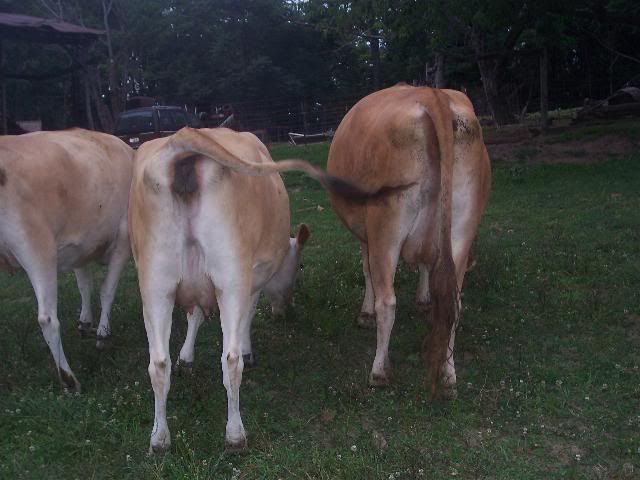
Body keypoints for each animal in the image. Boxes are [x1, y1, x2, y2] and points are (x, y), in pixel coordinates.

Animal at [0, 129, 134, 392]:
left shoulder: (81, 246)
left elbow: (84, 285)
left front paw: (85, 322)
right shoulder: (123, 237)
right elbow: (107, 290)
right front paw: (103, 334)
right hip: (38, 248)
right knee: (47, 318)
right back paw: (69, 378)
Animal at [128, 127, 364, 453]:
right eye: (299, 268)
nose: (285, 310)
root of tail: (183, 140)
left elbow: (194, 317)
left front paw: (186, 357)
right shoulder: (253, 279)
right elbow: (247, 319)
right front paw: (249, 350)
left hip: (154, 284)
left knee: (158, 364)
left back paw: (160, 438)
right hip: (231, 279)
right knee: (230, 359)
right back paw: (235, 434)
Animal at [326, 85, 491, 399]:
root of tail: (432, 94)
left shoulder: (366, 234)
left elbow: (367, 271)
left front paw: (364, 314)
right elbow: (427, 267)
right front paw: (424, 299)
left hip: (386, 226)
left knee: (388, 302)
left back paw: (379, 372)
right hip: (462, 225)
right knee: (453, 303)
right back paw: (448, 376)